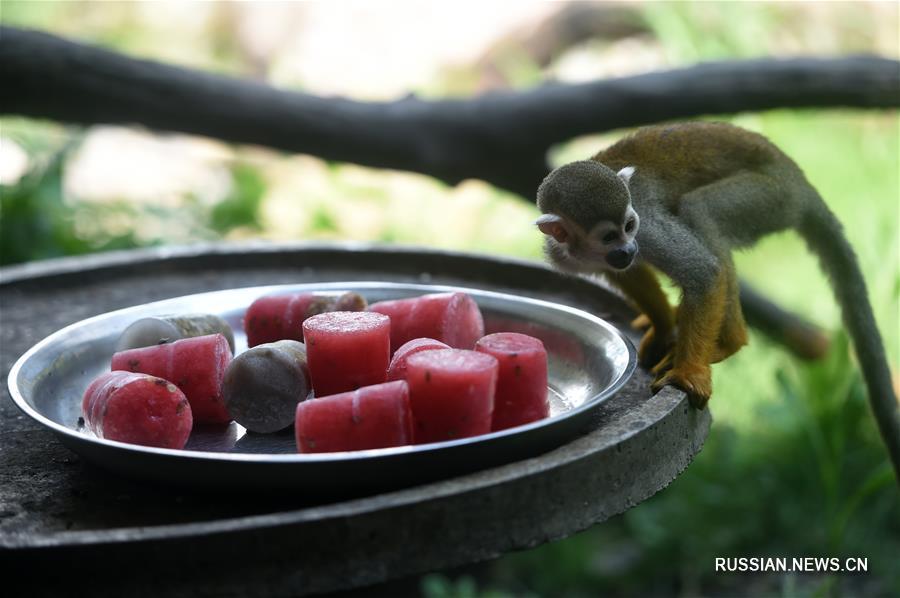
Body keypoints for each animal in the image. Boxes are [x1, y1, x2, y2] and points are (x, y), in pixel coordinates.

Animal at [536, 124, 896, 480]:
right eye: (609, 237)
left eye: (629, 225)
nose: (627, 248)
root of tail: (799, 180)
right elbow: (628, 272)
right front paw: (663, 326)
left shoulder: (647, 228)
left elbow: (704, 272)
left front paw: (688, 372)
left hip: (772, 198)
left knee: (699, 210)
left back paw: (729, 341)